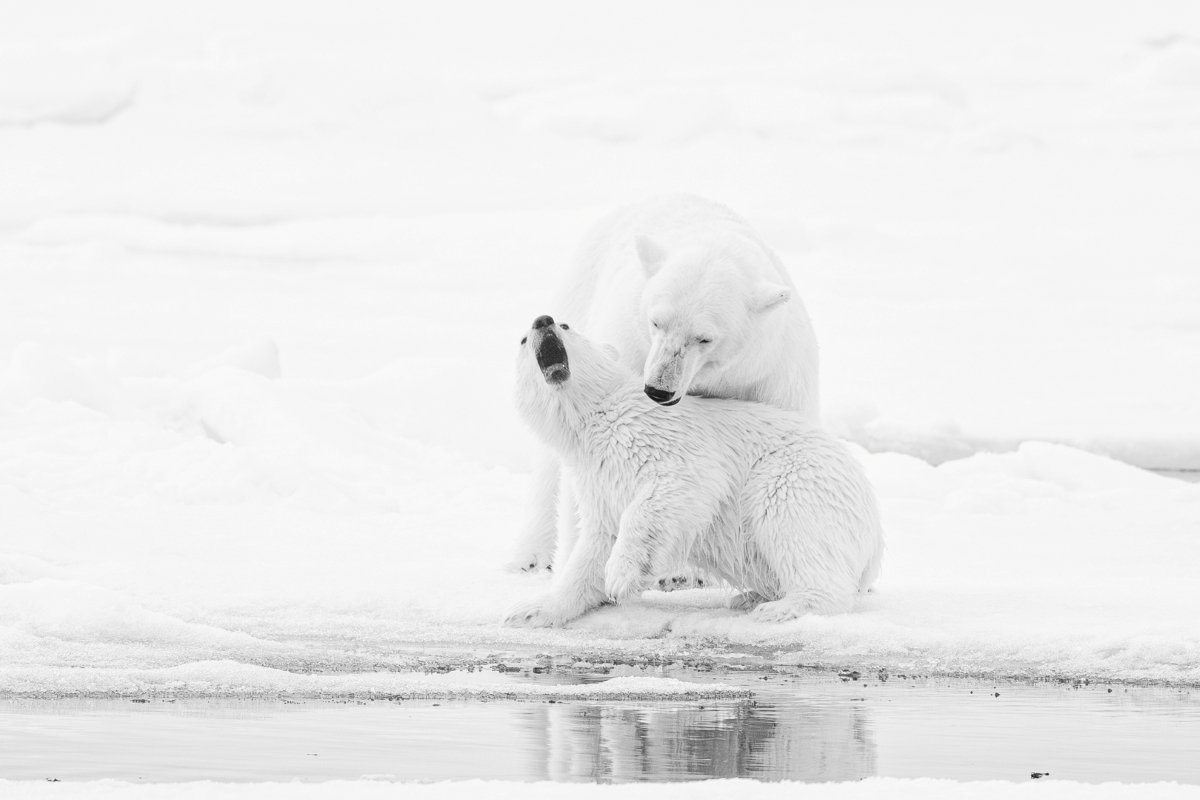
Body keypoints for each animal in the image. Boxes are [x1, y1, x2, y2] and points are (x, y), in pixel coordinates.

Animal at [502, 315, 883, 628]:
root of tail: (875, 542)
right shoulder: (597, 478)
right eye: (522, 340)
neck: (597, 417)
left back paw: (782, 607)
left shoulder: (663, 438)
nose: (543, 320)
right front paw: (529, 610)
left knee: (790, 524)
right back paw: (751, 597)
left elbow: (677, 485)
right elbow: (595, 544)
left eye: (566, 325)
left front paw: (621, 576)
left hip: (799, 479)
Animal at [508, 195, 820, 574]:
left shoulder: (768, 377)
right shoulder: (629, 347)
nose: (658, 389)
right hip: (582, 284)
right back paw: (530, 554)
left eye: (704, 338)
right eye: (657, 321)